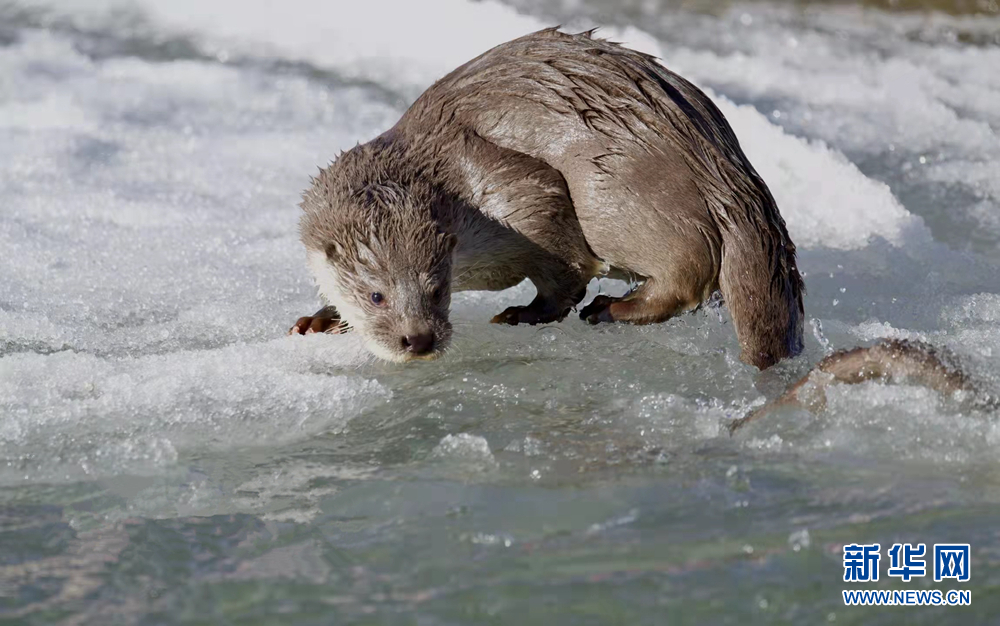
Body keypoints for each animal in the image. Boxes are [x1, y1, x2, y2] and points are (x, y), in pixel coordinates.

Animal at [290, 28, 803, 368]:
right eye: (376, 296)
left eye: (436, 287)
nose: (418, 340)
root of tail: (727, 170)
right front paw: (320, 319)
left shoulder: (513, 193)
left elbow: (566, 272)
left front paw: (523, 314)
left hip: (616, 190)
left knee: (686, 276)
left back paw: (611, 308)